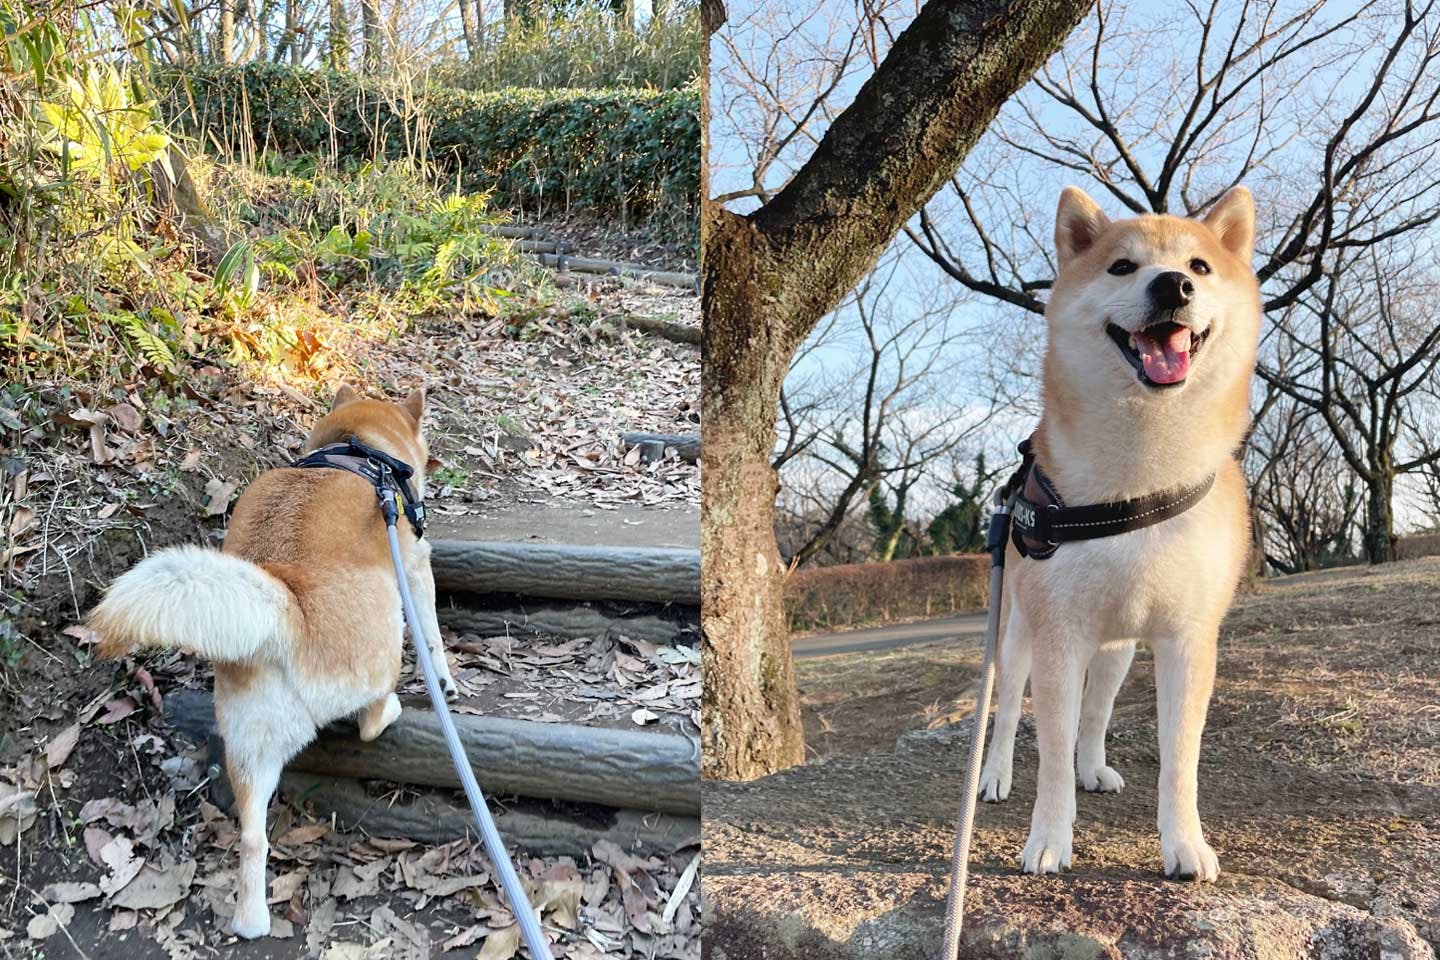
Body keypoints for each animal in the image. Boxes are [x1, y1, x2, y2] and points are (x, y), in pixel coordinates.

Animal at [88, 385, 455, 938]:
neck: (359, 445)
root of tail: (286, 609)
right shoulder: (415, 564)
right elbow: (432, 635)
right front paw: (444, 678)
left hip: (248, 751)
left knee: (252, 839)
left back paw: (251, 919)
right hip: (384, 635)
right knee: (370, 720)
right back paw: (389, 709)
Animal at [979, 184, 1261, 880]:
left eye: (1199, 267)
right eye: (1121, 267)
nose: (1172, 285)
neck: (1139, 478)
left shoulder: (1188, 638)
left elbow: (1178, 759)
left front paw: (1184, 843)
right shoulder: (1059, 634)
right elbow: (1049, 750)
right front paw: (1049, 839)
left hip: (1118, 647)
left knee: (1096, 711)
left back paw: (1094, 768)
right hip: (1019, 632)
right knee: (1008, 712)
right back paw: (994, 775)